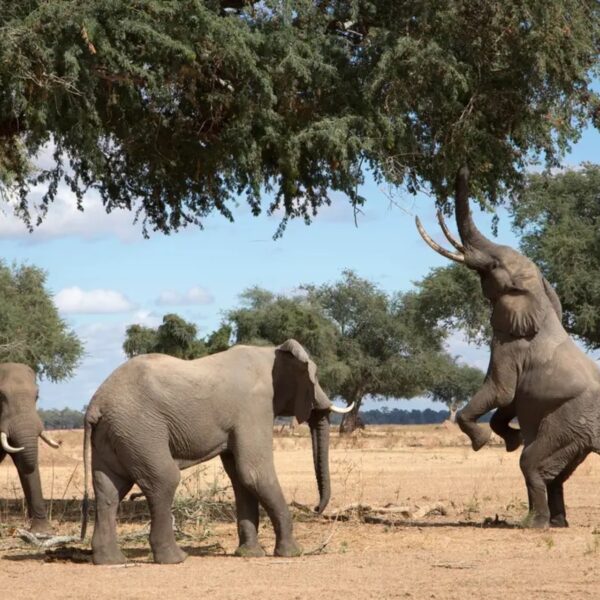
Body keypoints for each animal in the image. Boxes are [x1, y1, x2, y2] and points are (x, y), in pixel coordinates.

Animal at [81, 340, 352, 564]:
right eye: (315, 377)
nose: (316, 508)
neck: (271, 352)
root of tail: (95, 404)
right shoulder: (254, 407)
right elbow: (255, 473)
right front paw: (292, 554)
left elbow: (241, 478)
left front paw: (250, 554)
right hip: (140, 429)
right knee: (164, 480)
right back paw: (176, 558)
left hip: (115, 433)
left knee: (109, 489)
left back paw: (111, 561)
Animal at [414, 166, 600, 528]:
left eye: (493, 266)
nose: (464, 166)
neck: (540, 298)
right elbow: (510, 401)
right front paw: (511, 439)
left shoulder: (509, 345)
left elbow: (500, 392)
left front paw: (484, 441)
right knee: (557, 472)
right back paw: (557, 523)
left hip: (570, 419)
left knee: (533, 463)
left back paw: (535, 524)